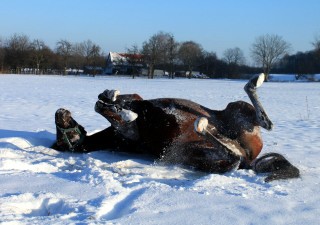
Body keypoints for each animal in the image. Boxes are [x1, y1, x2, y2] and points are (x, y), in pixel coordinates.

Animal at [52, 74, 300, 183]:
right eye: (62, 140)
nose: (59, 112)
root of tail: (249, 159)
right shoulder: (132, 129)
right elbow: (111, 112)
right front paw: (120, 109)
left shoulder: (138, 100)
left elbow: (108, 103)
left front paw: (110, 96)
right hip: (201, 155)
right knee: (235, 157)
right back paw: (203, 126)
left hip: (237, 110)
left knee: (263, 122)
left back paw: (253, 82)